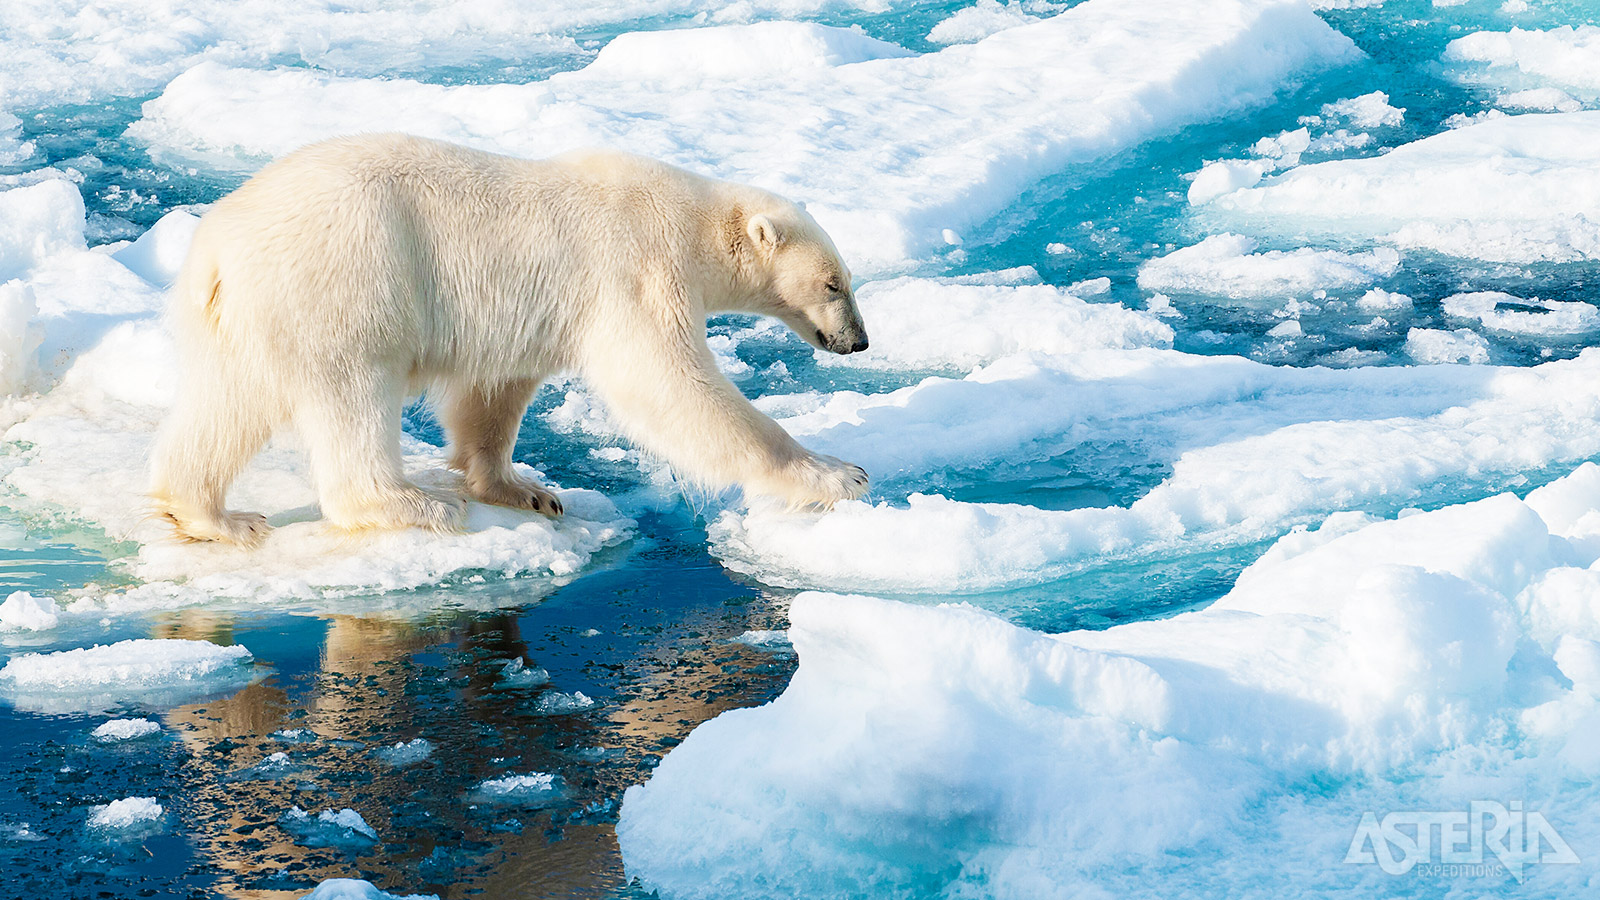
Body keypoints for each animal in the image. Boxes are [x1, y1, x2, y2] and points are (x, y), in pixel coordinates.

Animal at [148, 132, 870, 538]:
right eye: (834, 283)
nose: (858, 342)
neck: (693, 221)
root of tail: (217, 245)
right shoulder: (637, 267)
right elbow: (668, 385)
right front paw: (838, 474)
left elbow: (493, 393)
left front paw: (526, 490)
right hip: (344, 279)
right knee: (352, 392)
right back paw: (413, 506)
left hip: (245, 314)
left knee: (227, 405)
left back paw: (215, 517)